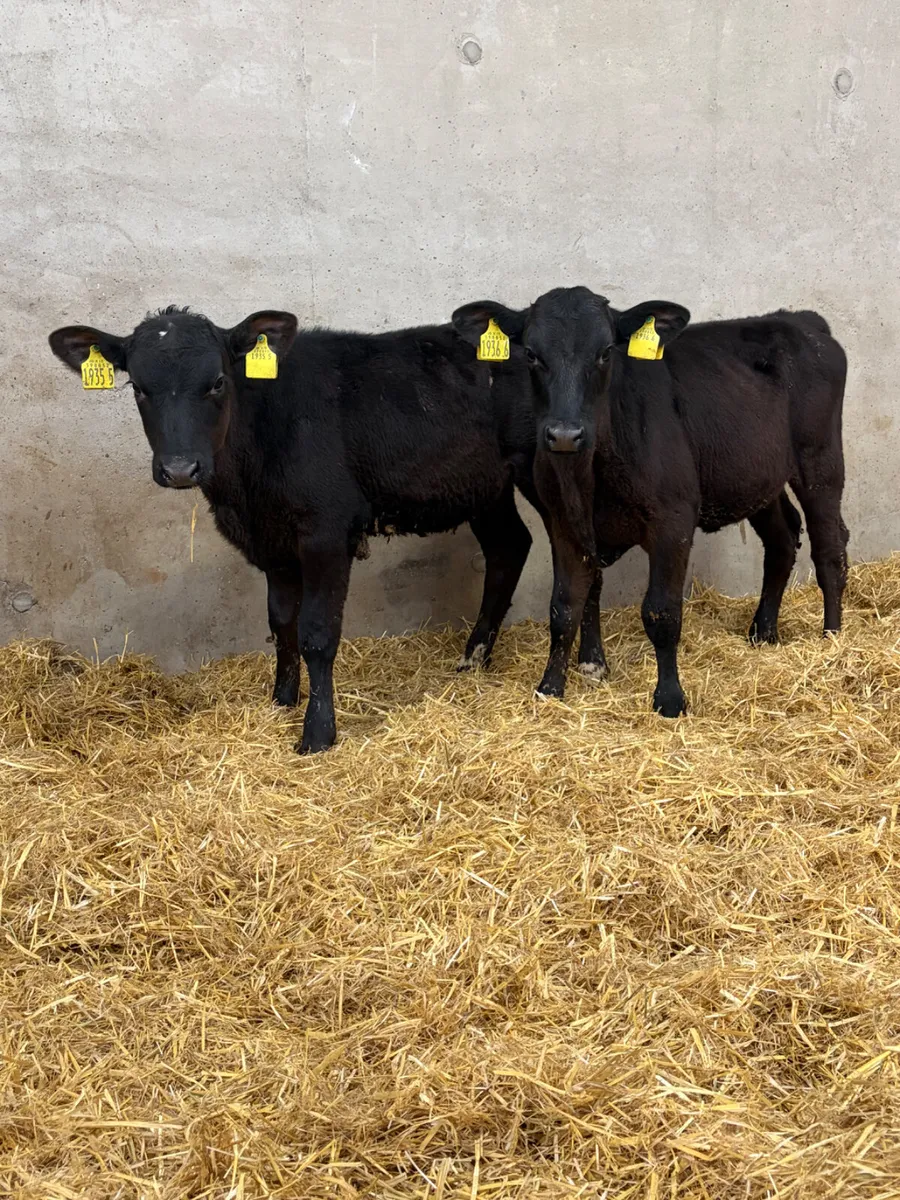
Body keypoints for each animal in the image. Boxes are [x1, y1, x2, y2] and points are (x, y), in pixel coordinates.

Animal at [49, 307, 606, 753]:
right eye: (139, 388)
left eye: (217, 382)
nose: (181, 468)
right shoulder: (272, 541)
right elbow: (281, 624)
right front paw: (281, 700)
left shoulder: (326, 531)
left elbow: (317, 632)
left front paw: (318, 733)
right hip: (484, 485)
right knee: (512, 547)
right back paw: (478, 658)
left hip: (549, 471)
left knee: (577, 554)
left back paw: (574, 671)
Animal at [452, 287, 849, 717]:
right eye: (531, 353)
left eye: (606, 351)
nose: (564, 435)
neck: (591, 477)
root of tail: (801, 320)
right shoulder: (563, 524)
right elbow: (563, 607)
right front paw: (550, 689)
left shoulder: (673, 521)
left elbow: (661, 611)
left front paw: (670, 699)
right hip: (758, 477)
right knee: (782, 539)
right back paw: (763, 632)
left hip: (820, 462)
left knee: (830, 548)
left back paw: (832, 638)